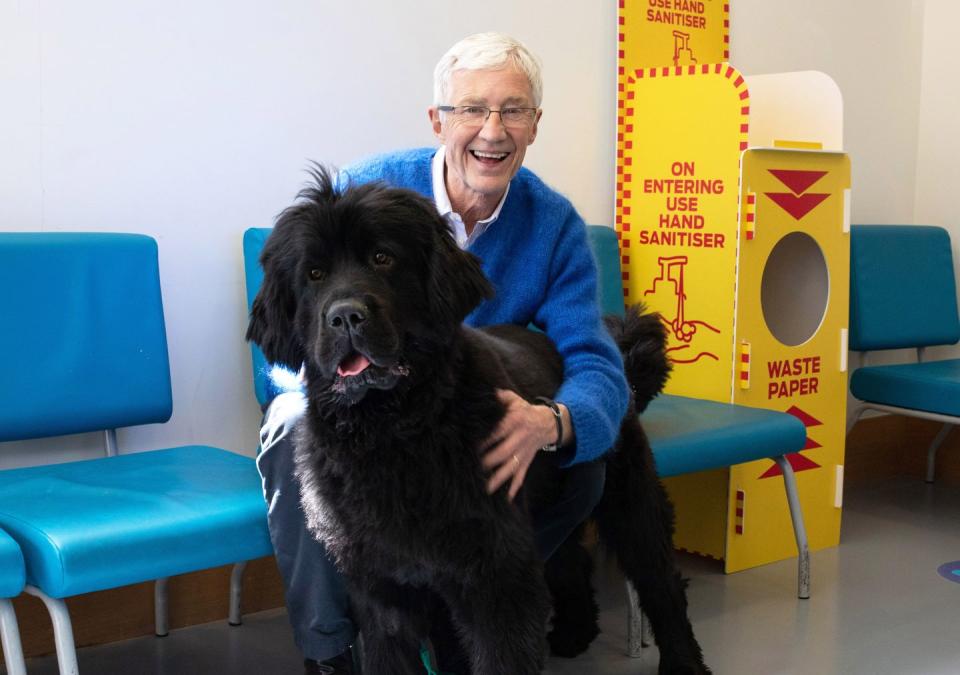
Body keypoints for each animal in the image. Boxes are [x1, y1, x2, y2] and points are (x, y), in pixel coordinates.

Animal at [249, 170, 704, 675]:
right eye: (314, 274)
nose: (346, 315)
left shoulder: (494, 578)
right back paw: (574, 632)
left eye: (383, 258)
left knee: (662, 583)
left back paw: (684, 662)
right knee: (570, 561)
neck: (394, 431)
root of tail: (615, 352)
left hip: (629, 501)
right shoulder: (382, 587)